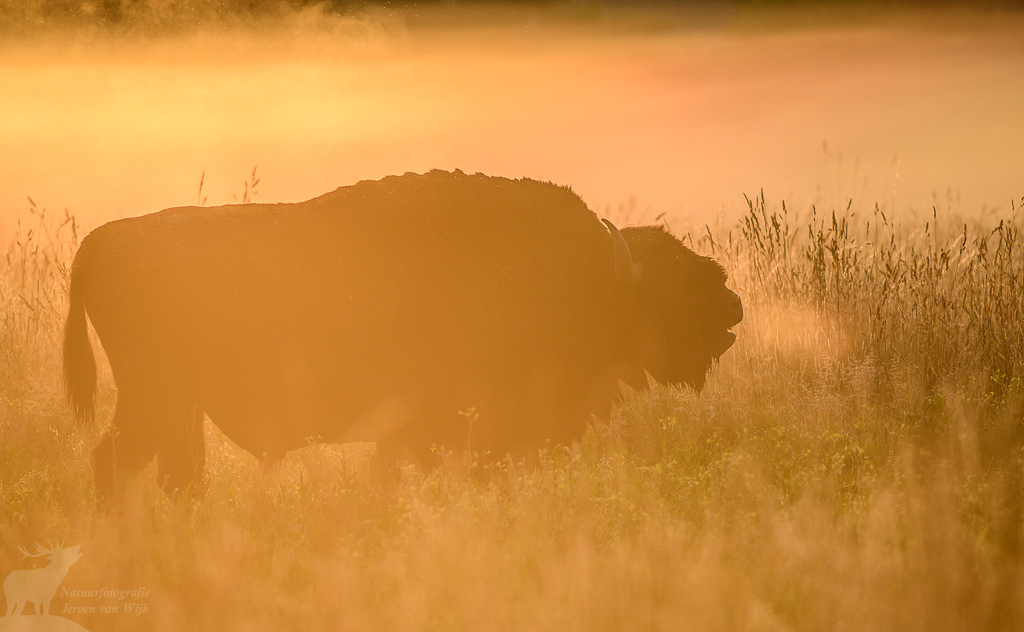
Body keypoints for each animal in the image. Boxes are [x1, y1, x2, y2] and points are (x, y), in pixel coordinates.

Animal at [63, 170, 742, 498]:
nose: (732, 304)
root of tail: (101, 238)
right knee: (116, 465)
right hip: (152, 400)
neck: (595, 276)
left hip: (178, 409)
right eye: (671, 281)